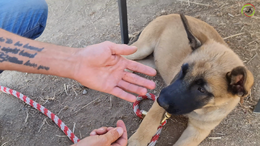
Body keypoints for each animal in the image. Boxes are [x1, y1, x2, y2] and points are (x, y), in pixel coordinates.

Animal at [126, 14, 254, 146]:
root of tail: (169, 15)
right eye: (183, 70)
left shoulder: (198, 131)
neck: (199, 110)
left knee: (134, 64)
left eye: (201, 89)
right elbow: (149, 120)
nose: (160, 100)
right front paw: (138, 140)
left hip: (152, 64)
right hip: (142, 48)